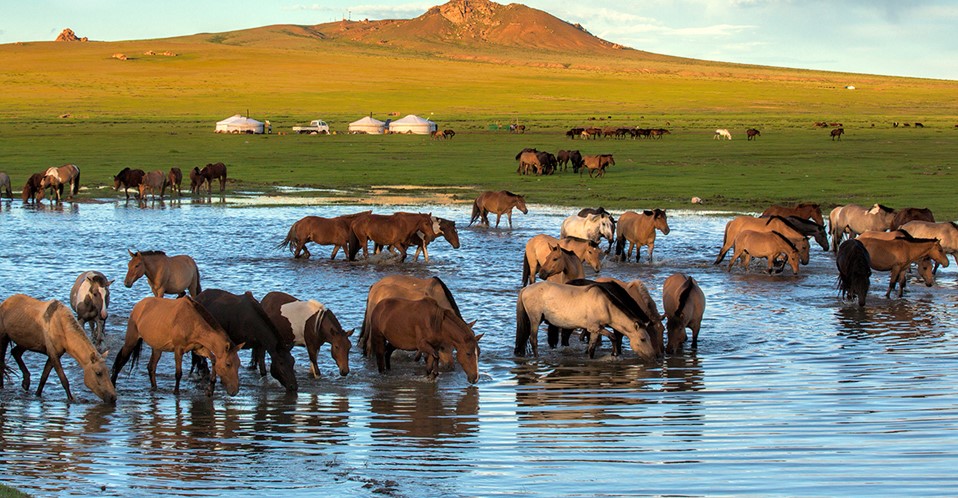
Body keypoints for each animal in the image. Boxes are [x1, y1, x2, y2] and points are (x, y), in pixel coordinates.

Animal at [111, 296, 244, 396]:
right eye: (228, 364)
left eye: (238, 364)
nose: (235, 391)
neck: (192, 322)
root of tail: (139, 305)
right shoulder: (178, 349)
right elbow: (178, 373)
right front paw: (176, 392)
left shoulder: (199, 349)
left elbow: (213, 360)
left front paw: (210, 390)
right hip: (131, 341)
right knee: (121, 361)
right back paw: (112, 383)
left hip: (157, 348)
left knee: (151, 367)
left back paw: (154, 388)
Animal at [516, 278, 660, 360]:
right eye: (643, 339)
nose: (653, 356)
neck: (605, 305)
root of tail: (525, 289)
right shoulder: (594, 328)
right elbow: (609, 339)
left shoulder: (597, 329)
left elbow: (595, 346)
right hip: (535, 319)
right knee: (533, 340)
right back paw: (537, 358)